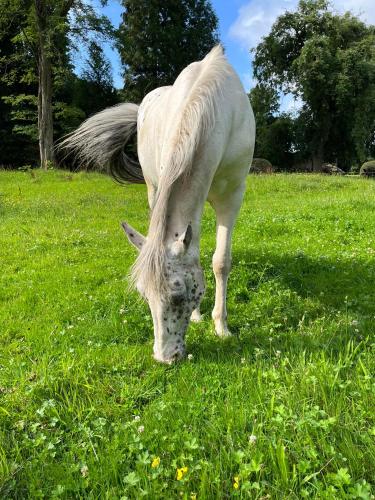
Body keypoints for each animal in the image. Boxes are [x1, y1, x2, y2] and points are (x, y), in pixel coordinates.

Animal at [62, 46, 256, 364]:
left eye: (178, 295)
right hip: (153, 189)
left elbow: (220, 262)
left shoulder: (232, 197)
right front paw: (199, 316)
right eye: (144, 295)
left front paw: (221, 327)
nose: (165, 357)